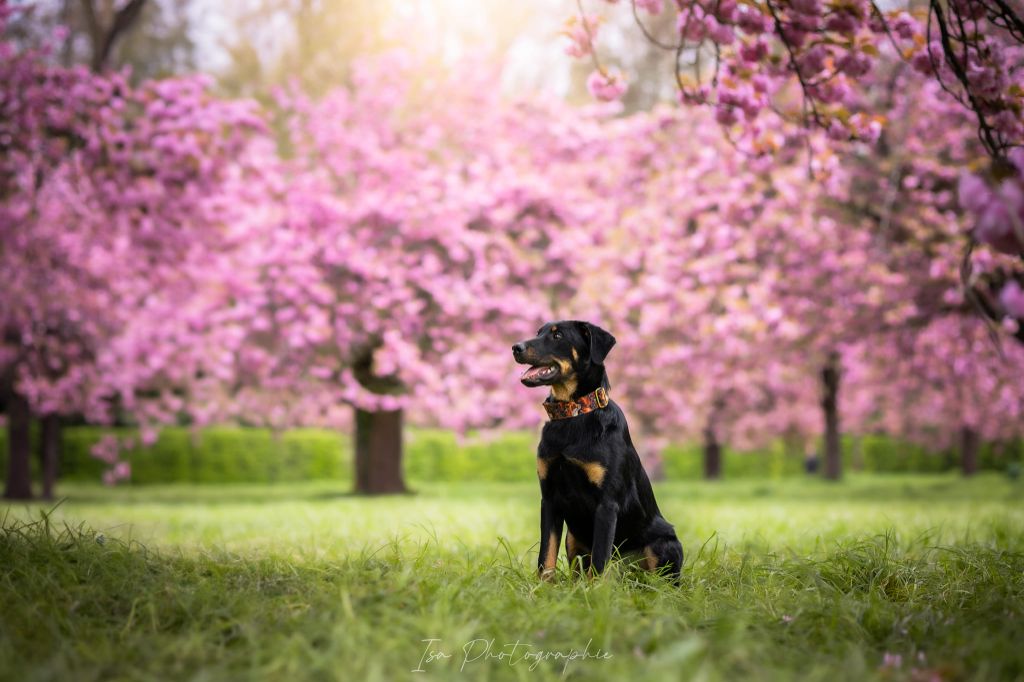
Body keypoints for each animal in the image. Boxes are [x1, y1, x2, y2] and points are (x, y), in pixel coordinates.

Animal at [509, 319, 679, 577]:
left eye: (557, 335)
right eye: (538, 332)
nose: (515, 347)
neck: (573, 414)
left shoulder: (606, 503)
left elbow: (599, 559)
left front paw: (595, 588)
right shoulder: (549, 498)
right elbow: (546, 555)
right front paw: (542, 586)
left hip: (663, 543)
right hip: (572, 537)